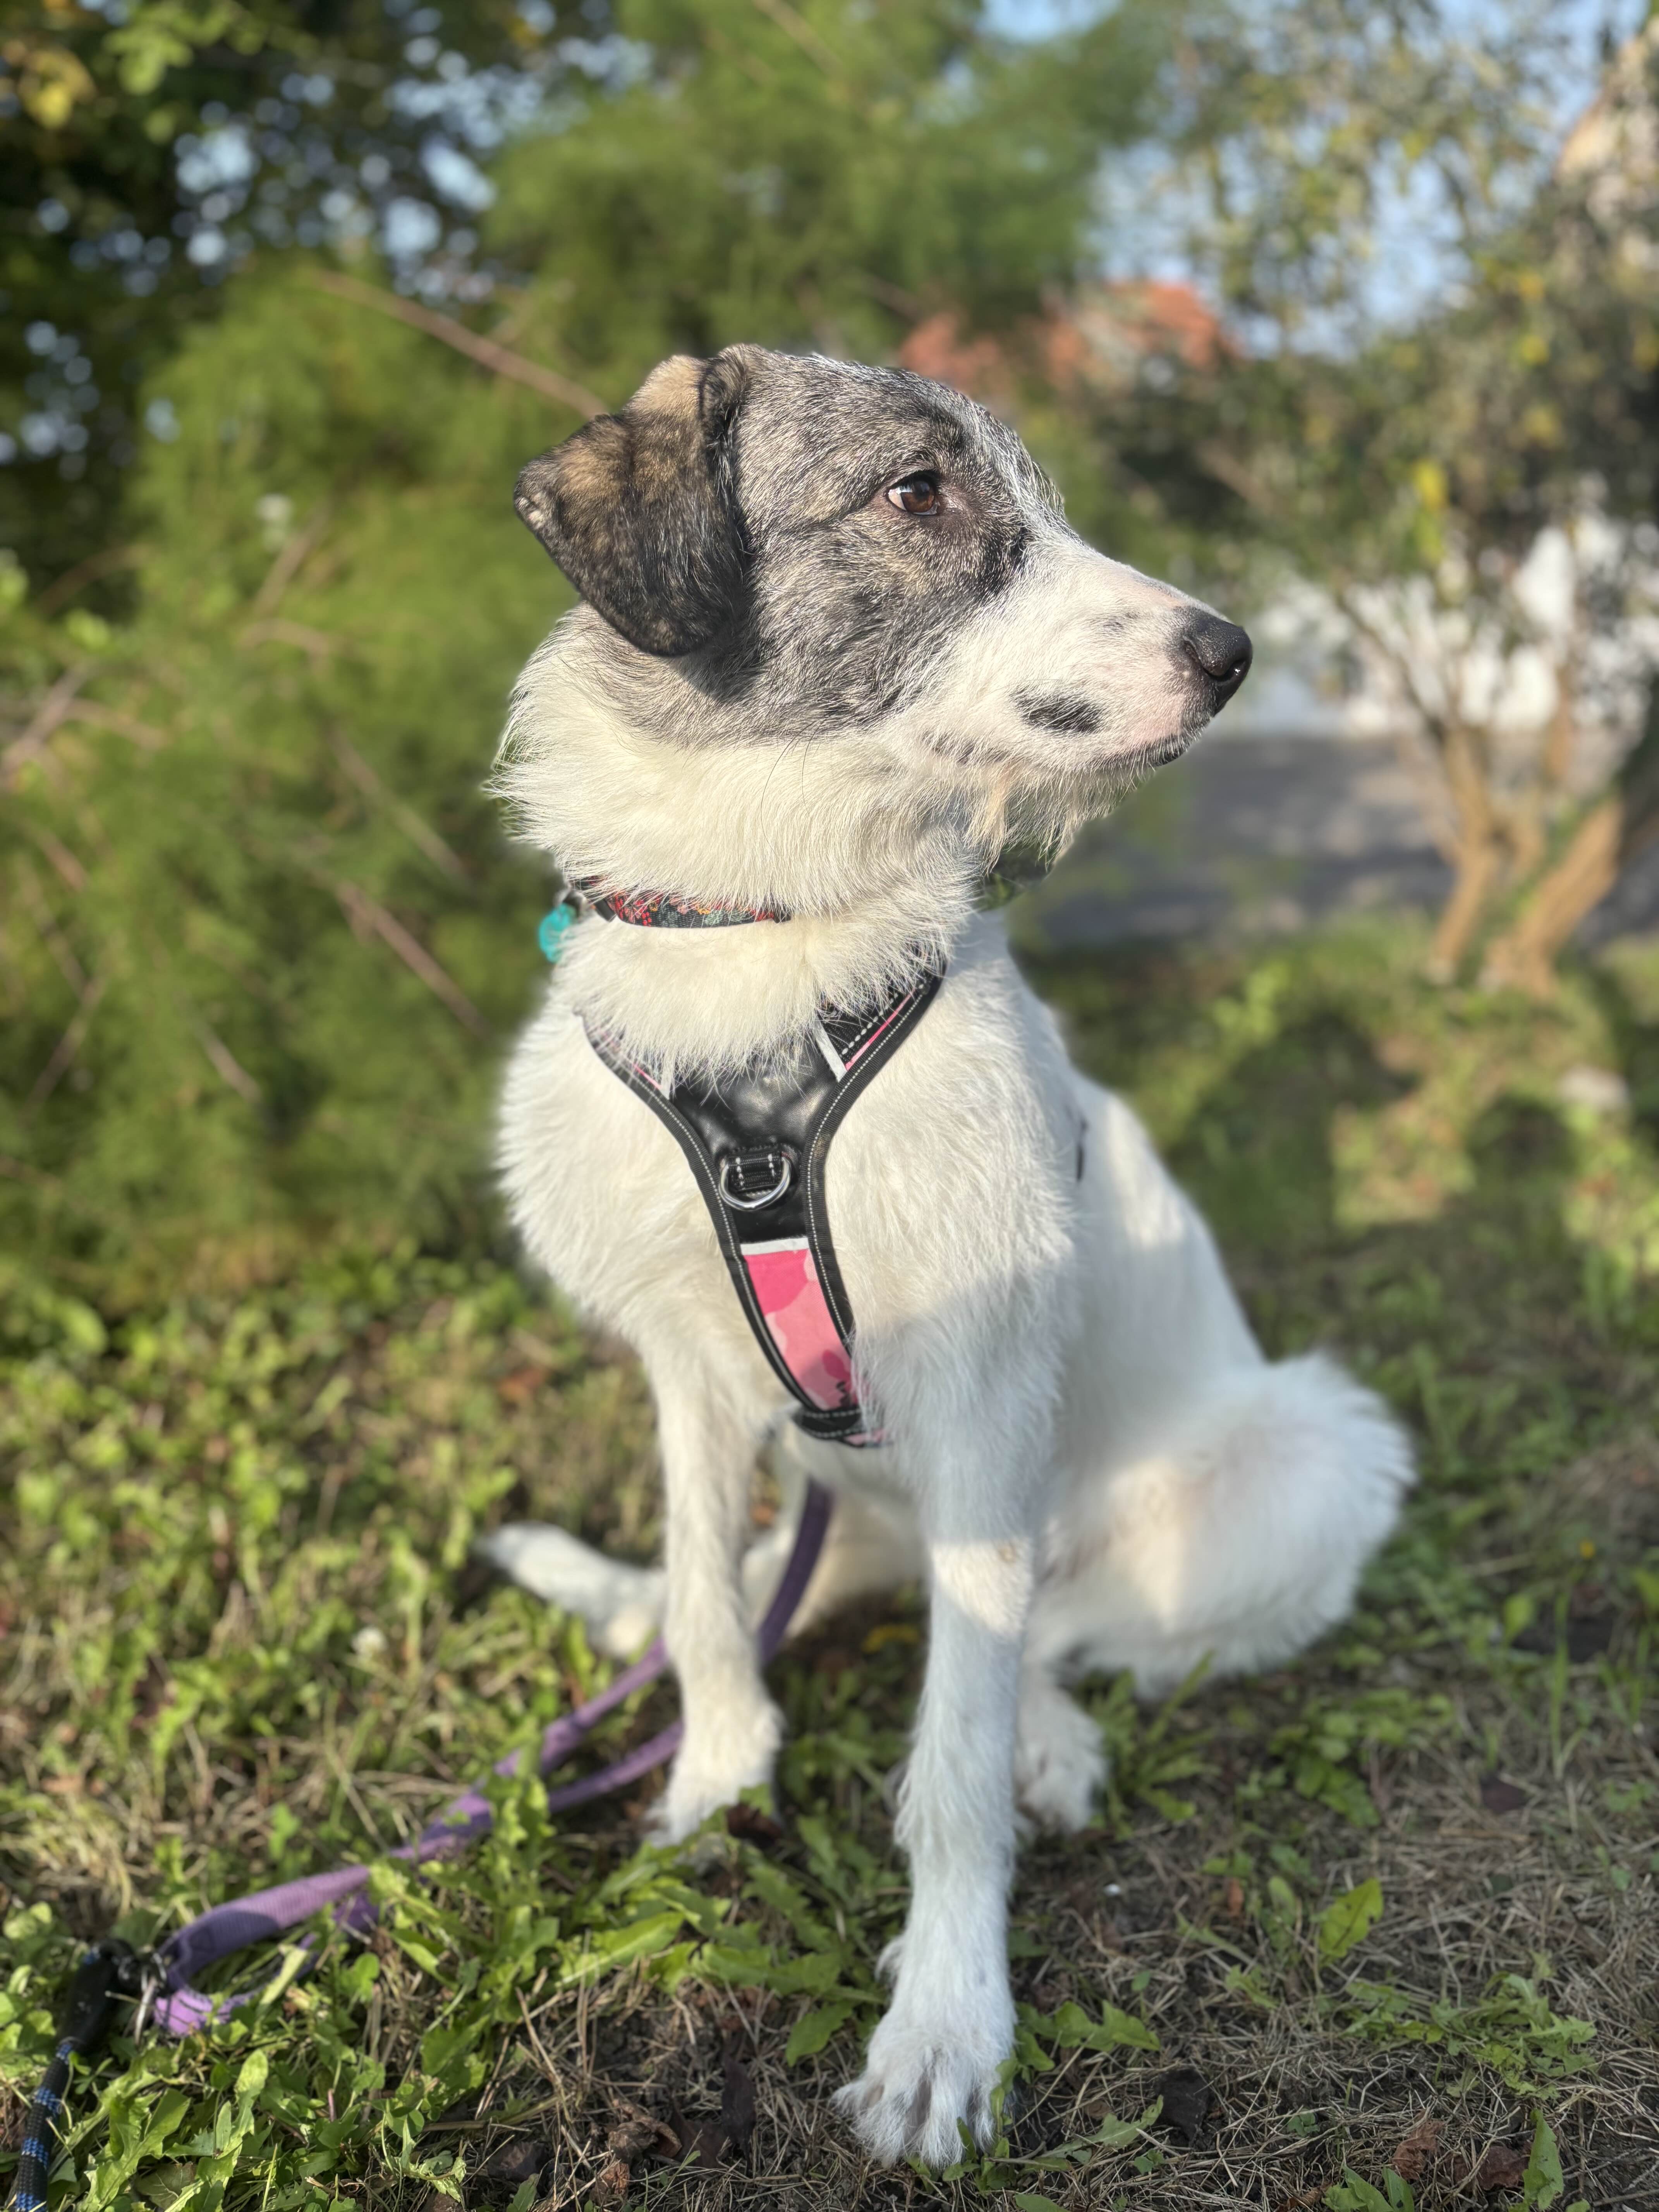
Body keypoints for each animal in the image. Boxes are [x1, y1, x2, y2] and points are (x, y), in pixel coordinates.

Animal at [482, 346, 1414, 2167]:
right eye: (918, 491)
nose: (1228, 652)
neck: (762, 929)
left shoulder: (981, 1390)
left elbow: (954, 1754)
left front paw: (944, 2015)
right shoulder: (690, 1371)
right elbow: (705, 1597)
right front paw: (712, 1786)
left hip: (1307, 1457)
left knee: (1040, 1632)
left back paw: (1050, 1733)